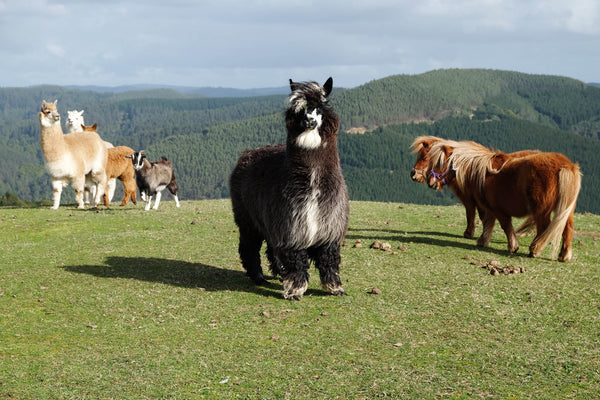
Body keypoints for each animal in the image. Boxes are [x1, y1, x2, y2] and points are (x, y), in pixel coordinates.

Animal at [428, 141, 584, 262]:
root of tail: (566, 165)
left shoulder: (497, 210)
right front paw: (483, 240)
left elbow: (505, 226)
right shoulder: (490, 208)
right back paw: (564, 256)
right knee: (568, 228)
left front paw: (513, 247)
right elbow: (488, 223)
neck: (481, 173)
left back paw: (534, 250)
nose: (431, 183)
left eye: (440, 163)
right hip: (567, 210)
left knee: (544, 228)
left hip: (541, 210)